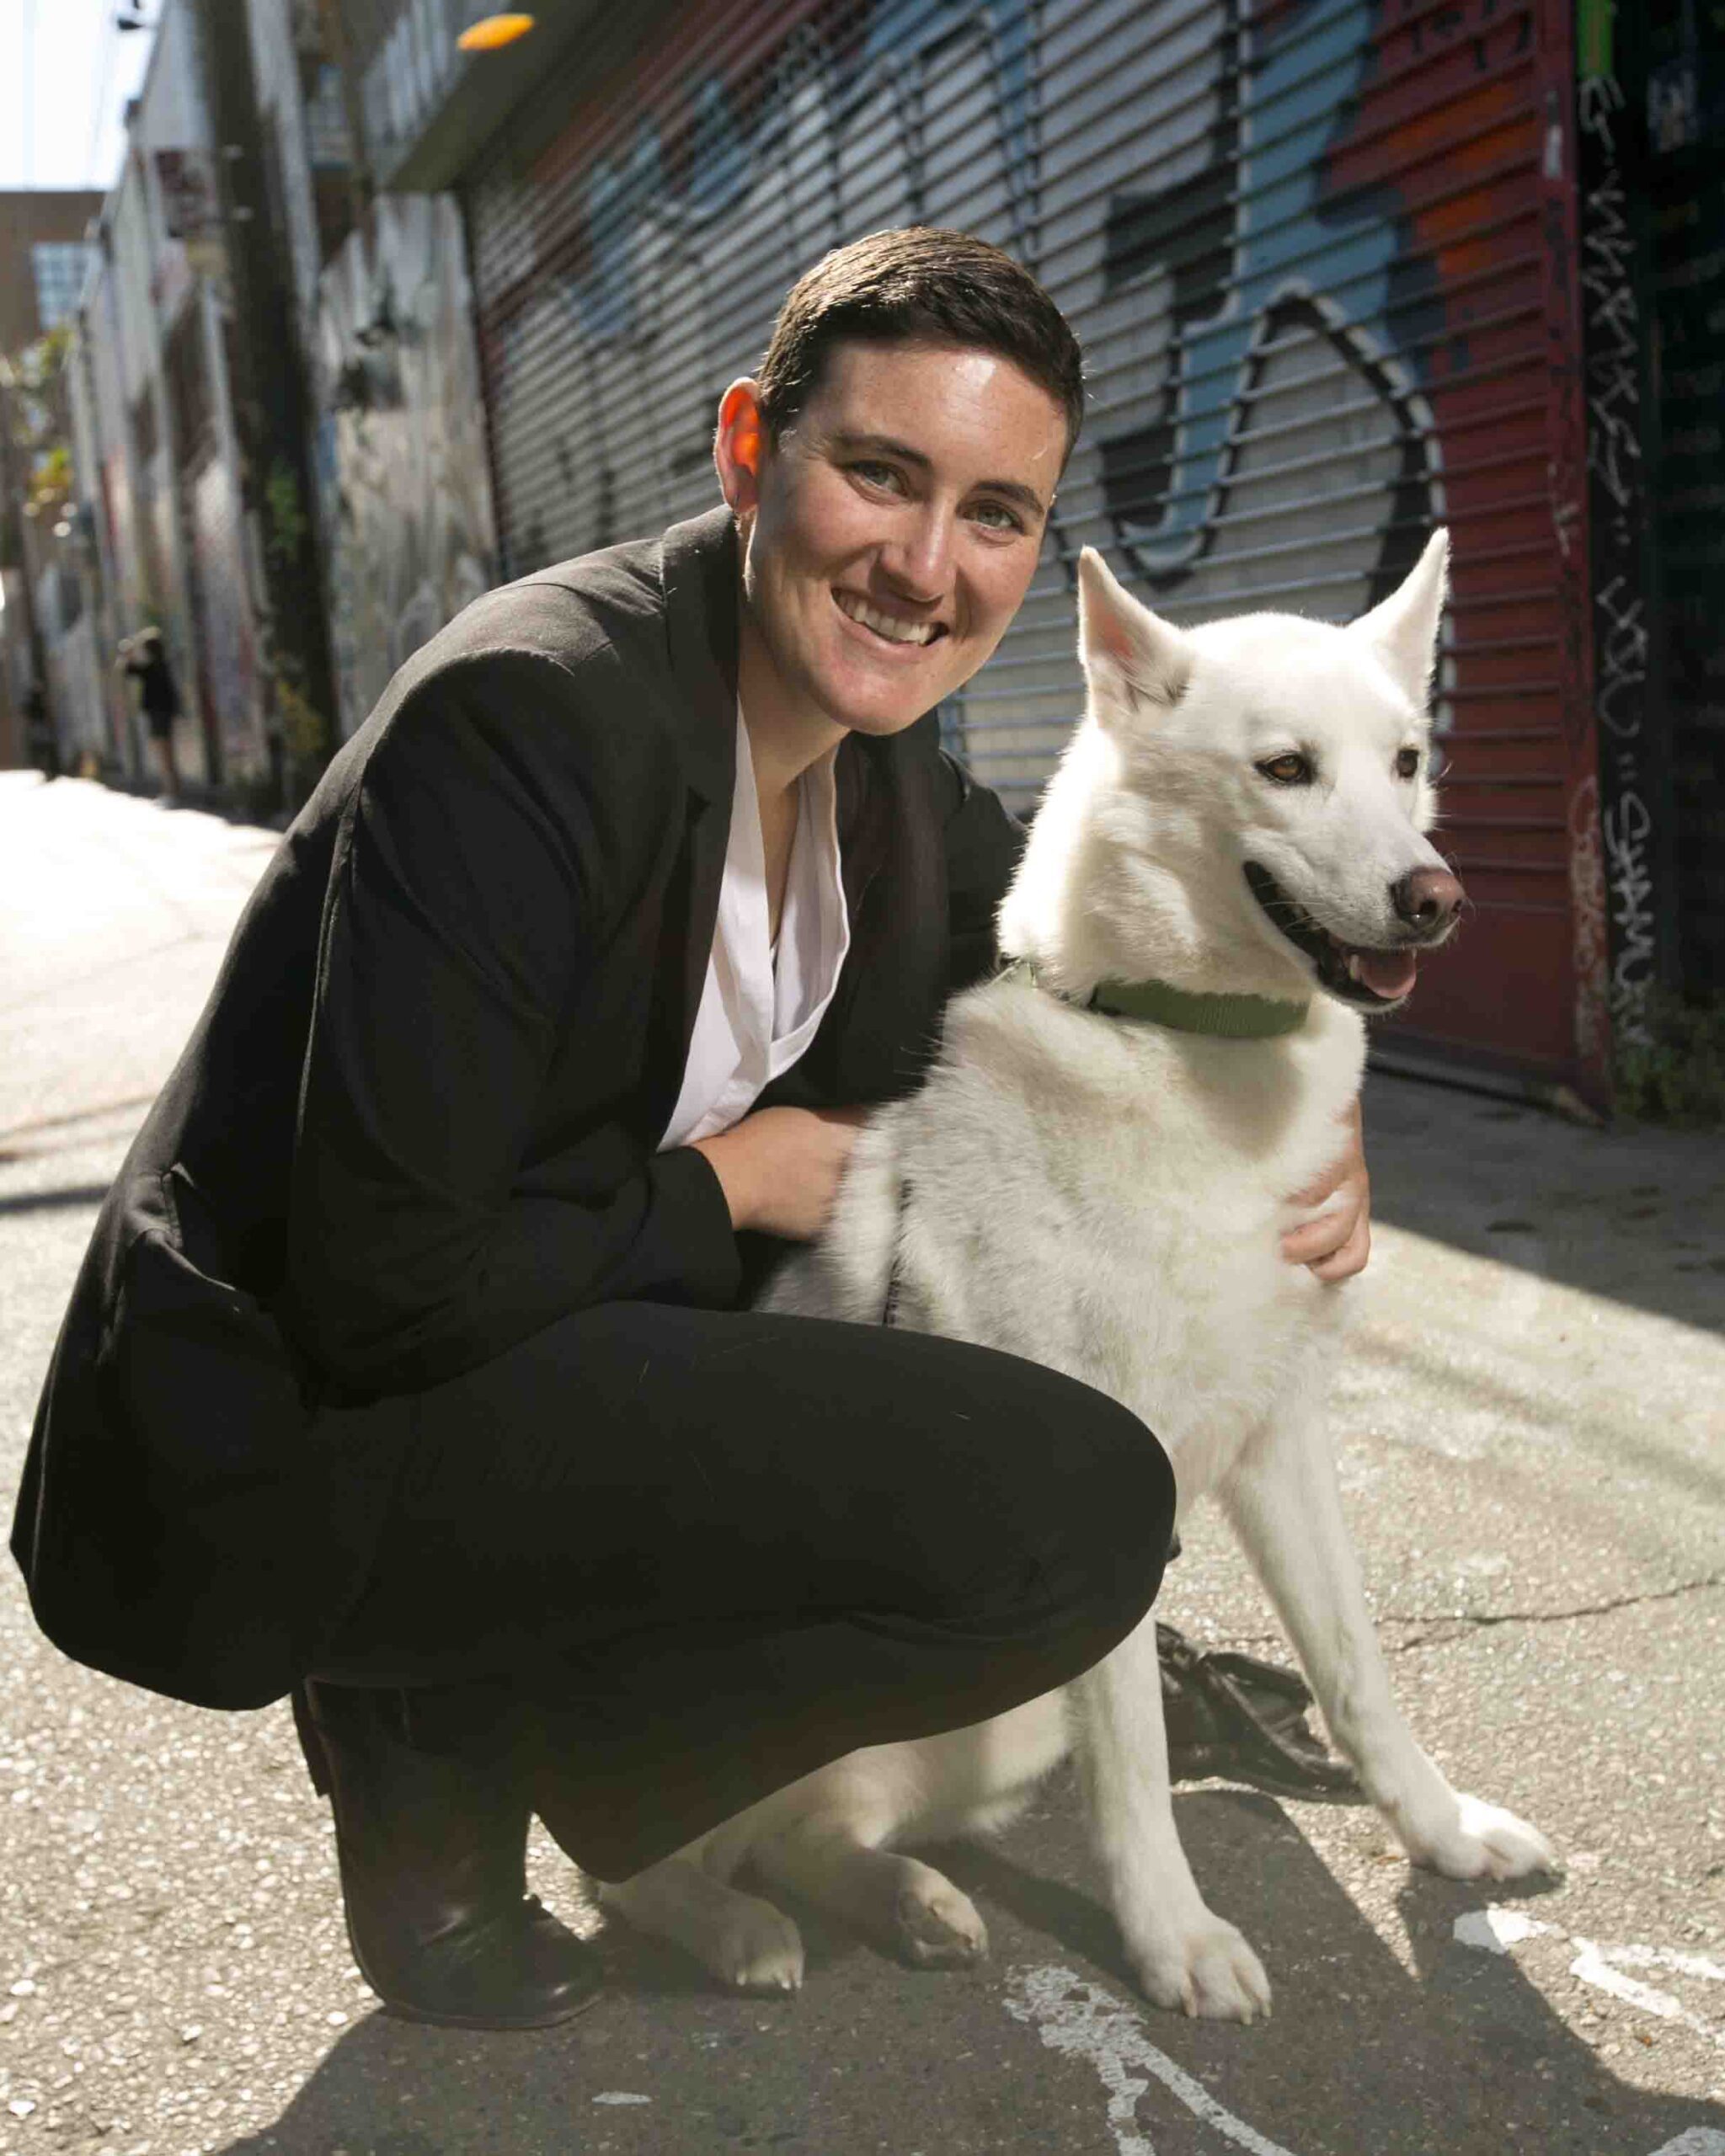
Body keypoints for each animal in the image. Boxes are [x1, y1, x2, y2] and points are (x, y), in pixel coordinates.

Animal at [599, 534, 1552, 2018]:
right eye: (1286, 768)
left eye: (1407, 761)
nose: (1435, 899)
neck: (1179, 1045)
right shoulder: (1126, 1490)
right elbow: (1144, 1760)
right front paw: (1175, 1941)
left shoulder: (1283, 1443)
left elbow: (1358, 1677)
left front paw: (1442, 1836)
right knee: (642, 1870)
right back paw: (734, 1929)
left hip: (993, 1729)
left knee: (816, 1834)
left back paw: (910, 1902)